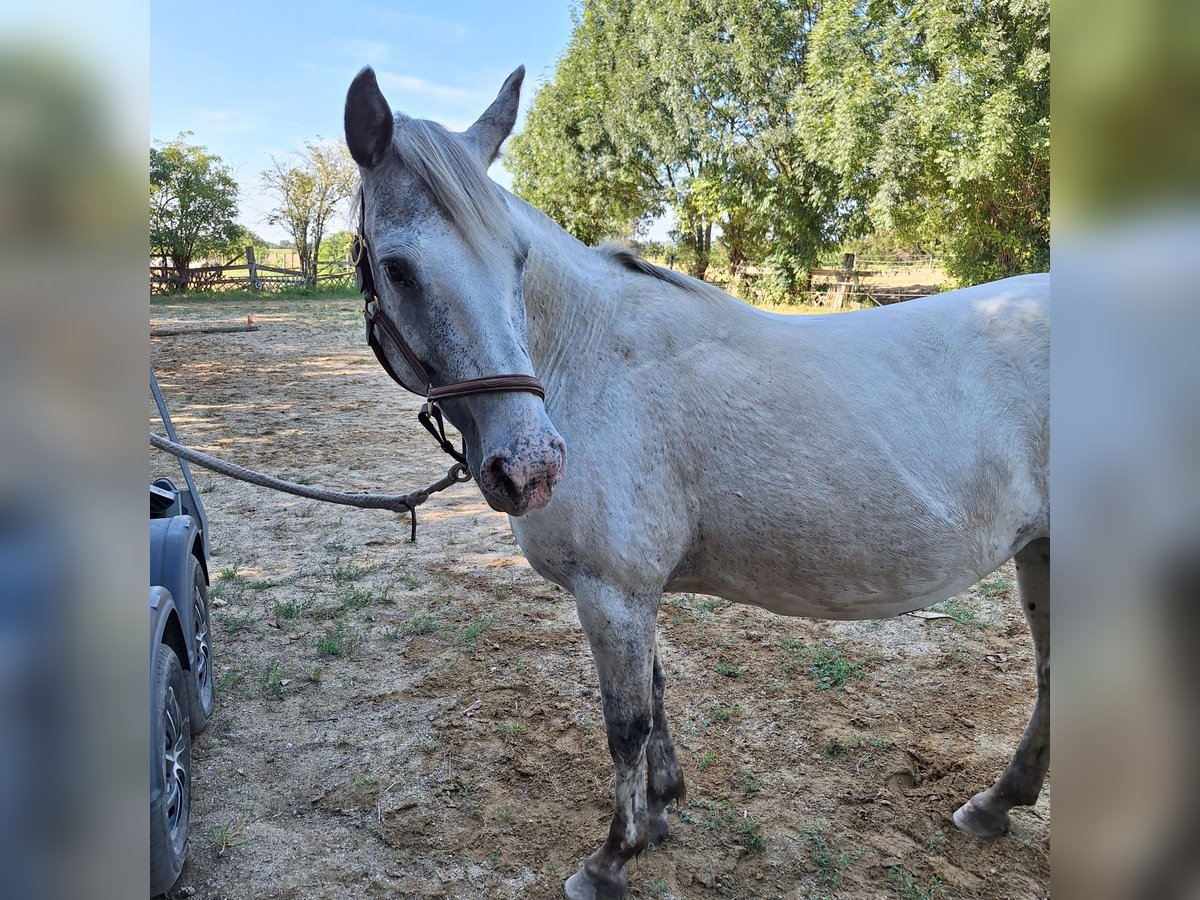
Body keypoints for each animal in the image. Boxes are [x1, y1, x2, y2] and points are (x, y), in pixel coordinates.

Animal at [343, 65, 1046, 900]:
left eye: (517, 260)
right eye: (397, 267)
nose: (531, 466)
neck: (589, 356)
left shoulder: (612, 591)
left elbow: (625, 724)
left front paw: (612, 858)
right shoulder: (633, 592)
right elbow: (655, 694)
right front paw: (660, 811)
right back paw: (996, 804)